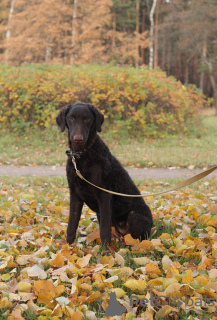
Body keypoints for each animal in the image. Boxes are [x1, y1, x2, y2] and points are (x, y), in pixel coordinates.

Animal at [56, 102, 153, 245]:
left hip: (134, 216)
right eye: (71, 118)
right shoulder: (74, 194)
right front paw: (68, 246)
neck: (82, 155)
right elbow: (71, 224)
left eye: (87, 119)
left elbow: (104, 230)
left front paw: (104, 250)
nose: (78, 139)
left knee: (136, 239)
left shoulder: (104, 195)